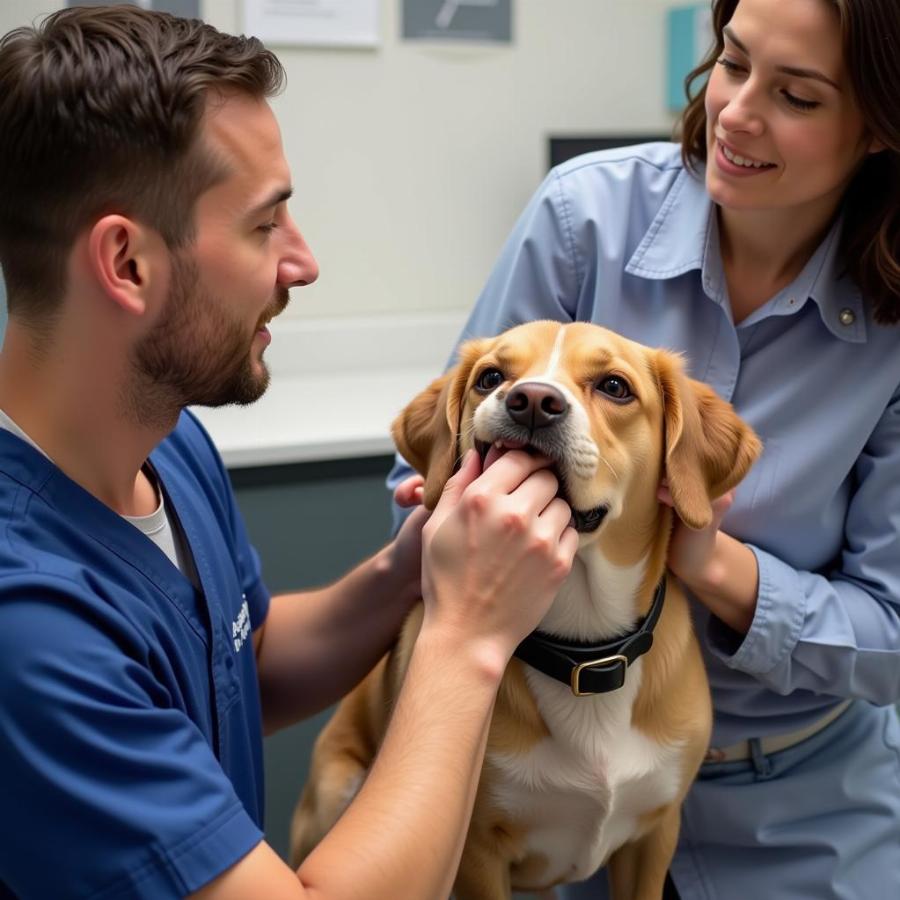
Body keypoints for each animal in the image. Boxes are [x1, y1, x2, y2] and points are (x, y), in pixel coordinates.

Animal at [292, 324, 764, 900]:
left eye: (615, 386)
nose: (533, 401)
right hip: (339, 789)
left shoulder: (655, 834)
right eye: (491, 377)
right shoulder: (476, 856)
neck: (584, 650)